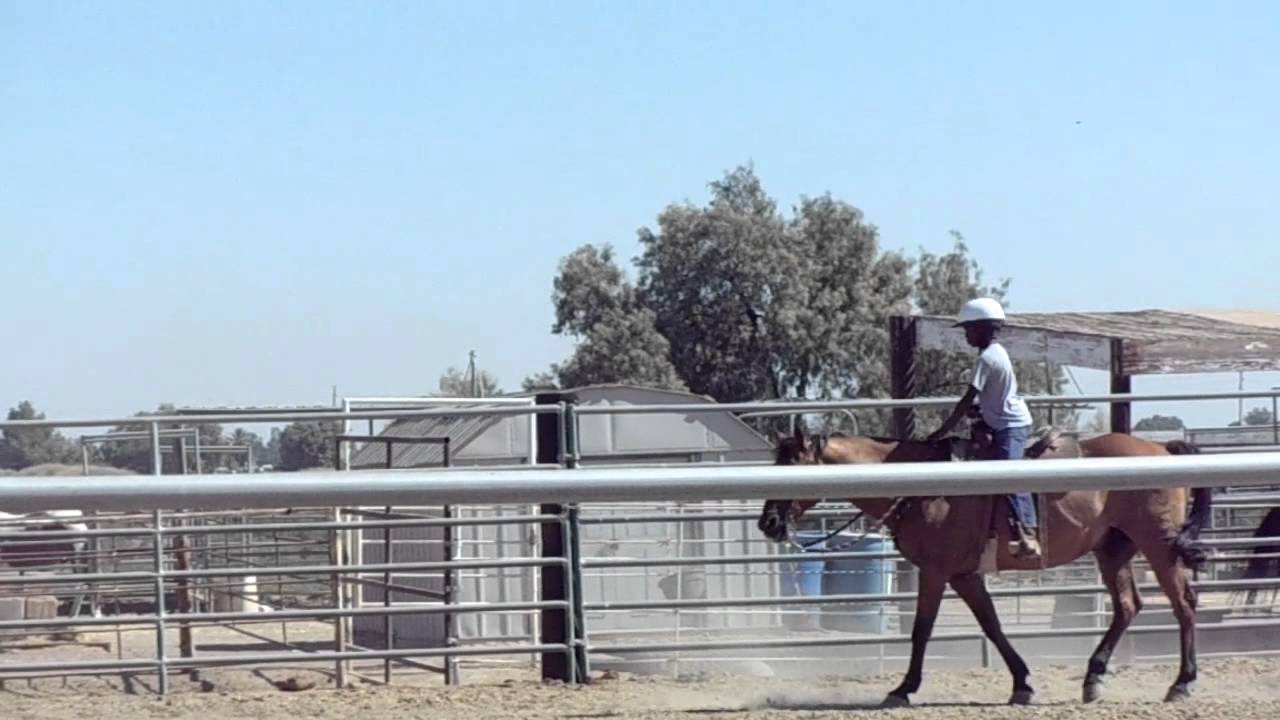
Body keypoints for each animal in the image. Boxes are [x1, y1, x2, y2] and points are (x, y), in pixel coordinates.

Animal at [756, 426, 1213, 707]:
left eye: (792, 465)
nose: (768, 523)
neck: (919, 485)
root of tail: (1162, 448)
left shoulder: (936, 571)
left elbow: (922, 630)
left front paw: (903, 689)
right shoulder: (964, 575)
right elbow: (991, 625)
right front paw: (1022, 684)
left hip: (1159, 546)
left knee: (1183, 605)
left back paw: (1182, 683)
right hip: (1113, 549)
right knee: (1127, 607)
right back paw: (1093, 679)